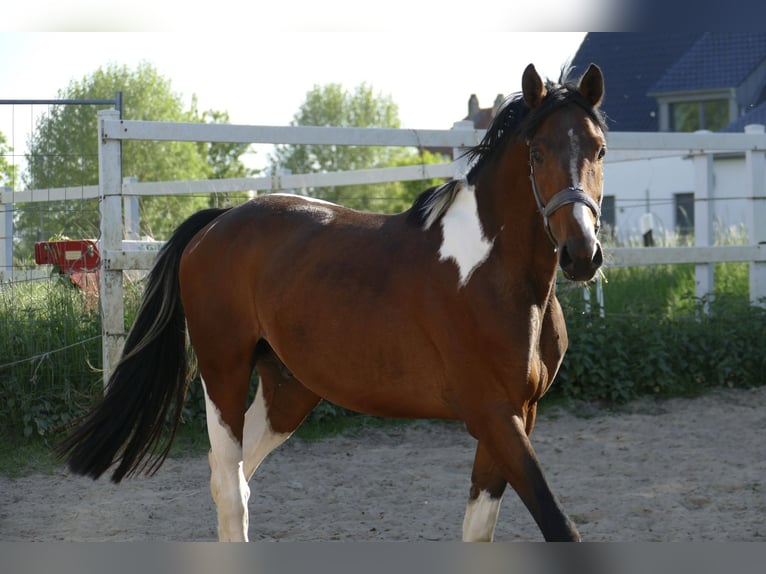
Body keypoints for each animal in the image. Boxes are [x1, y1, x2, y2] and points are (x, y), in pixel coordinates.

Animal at [57, 63, 607, 542]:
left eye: (599, 150)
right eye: (536, 153)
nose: (582, 253)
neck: (497, 276)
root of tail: (217, 222)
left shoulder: (518, 414)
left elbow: (479, 529)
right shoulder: (492, 413)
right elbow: (560, 526)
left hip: (288, 390)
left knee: (234, 479)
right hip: (223, 371)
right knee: (231, 487)